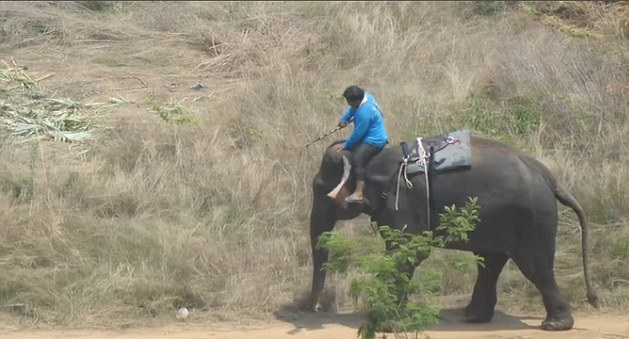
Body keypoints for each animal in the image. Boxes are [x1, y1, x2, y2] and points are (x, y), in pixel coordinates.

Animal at [308, 133, 600, 332]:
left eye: (319, 188)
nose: (313, 308)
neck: (371, 158)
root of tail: (550, 179)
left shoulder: (406, 198)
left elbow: (409, 251)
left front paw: (382, 323)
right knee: (490, 262)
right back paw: (473, 317)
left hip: (533, 217)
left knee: (534, 267)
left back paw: (554, 325)